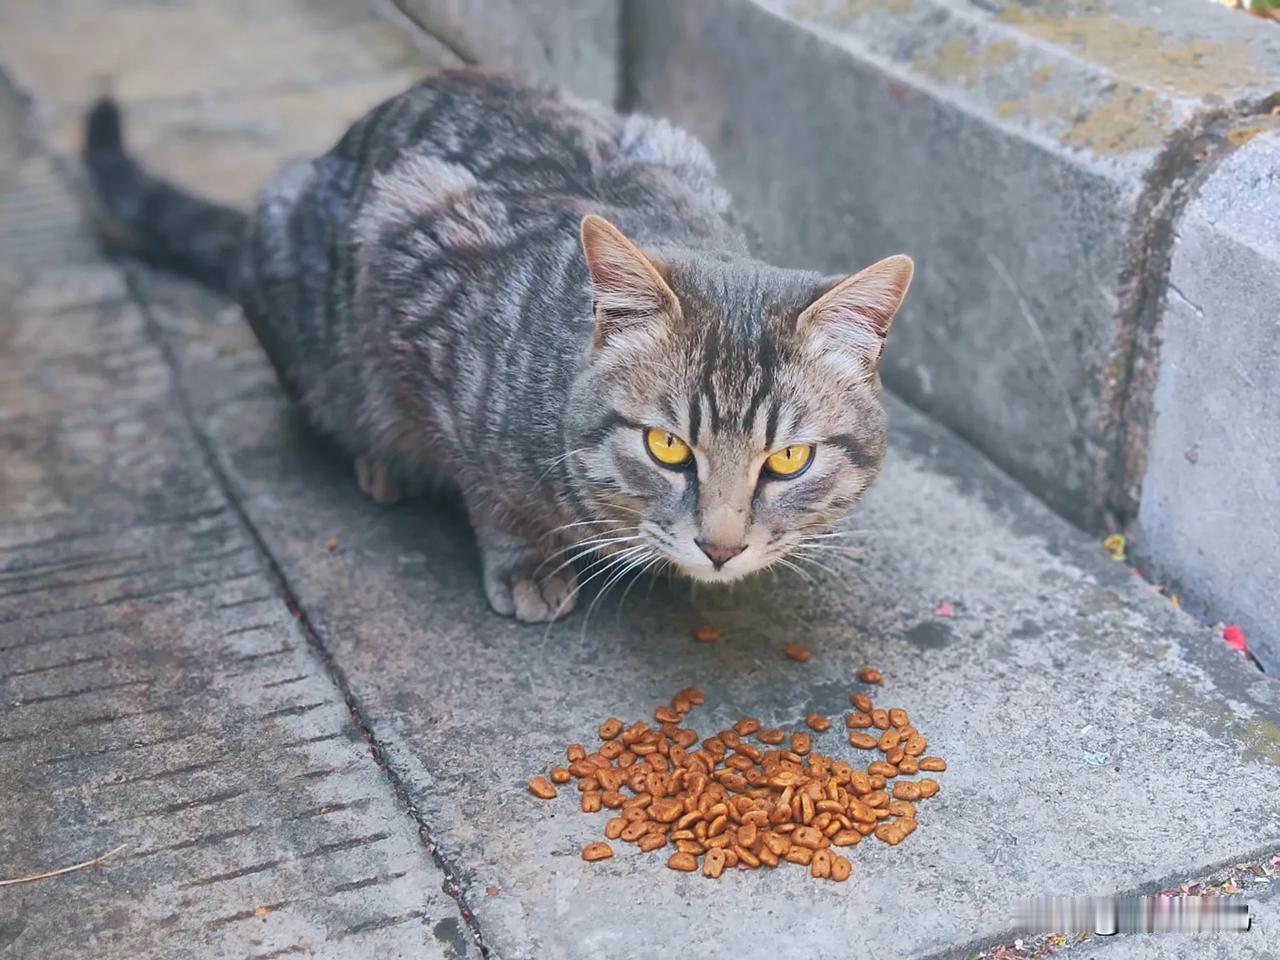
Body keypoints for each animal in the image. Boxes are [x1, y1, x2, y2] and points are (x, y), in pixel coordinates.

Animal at [82, 69, 911, 624]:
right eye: (667, 447)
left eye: (789, 459)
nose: (721, 547)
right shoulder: (414, 285)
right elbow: (488, 487)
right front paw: (525, 560)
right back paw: (382, 460)